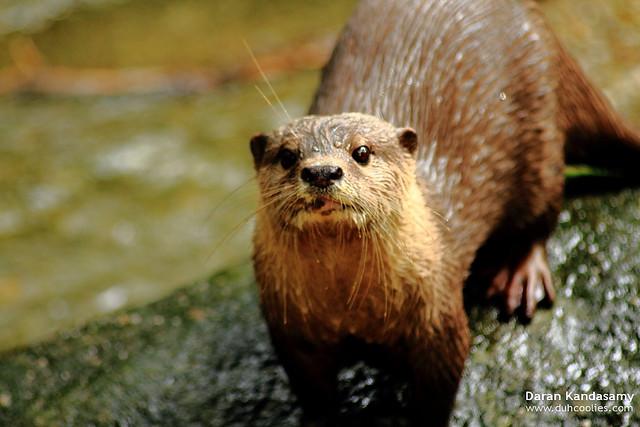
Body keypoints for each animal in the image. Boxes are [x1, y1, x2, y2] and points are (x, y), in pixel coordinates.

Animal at [248, 1, 640, 426]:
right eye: (288, 156)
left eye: (362, 152)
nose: (321, 171)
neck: (351, 310)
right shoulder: (290, 331)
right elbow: (313, 393)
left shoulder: (439, 317)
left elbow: (439, 388)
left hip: (540, 136)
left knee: (541, 215)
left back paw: (521, 276)